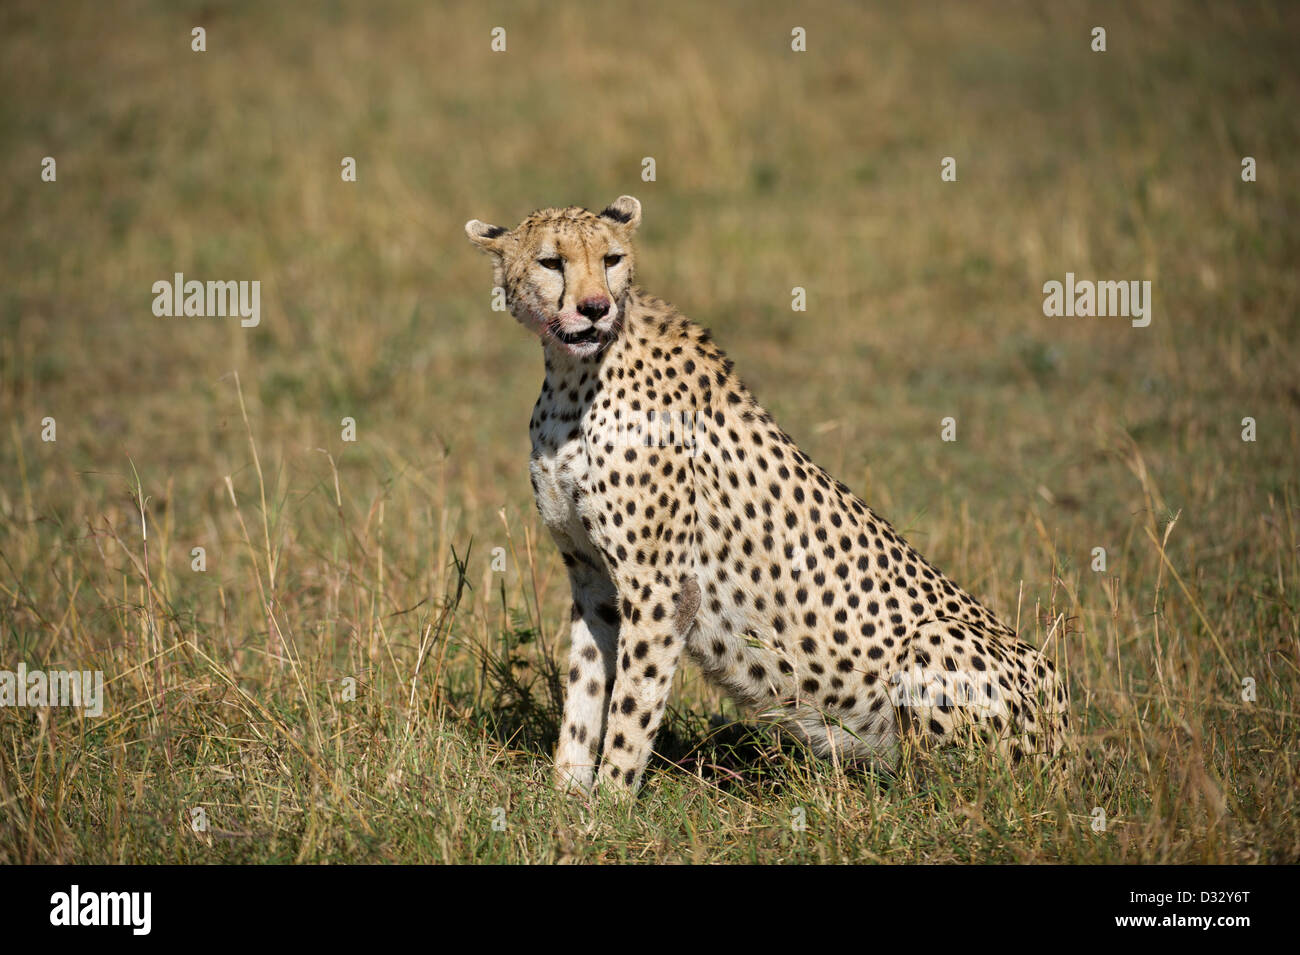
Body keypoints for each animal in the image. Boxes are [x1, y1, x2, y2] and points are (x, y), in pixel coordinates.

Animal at [465, 197, 1066, 795]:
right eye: (551, 262)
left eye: (612, 259)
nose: (595, 308)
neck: (574, 375)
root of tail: (1067, 746)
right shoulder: (593, 576)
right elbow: (586, 688)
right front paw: (566, 793)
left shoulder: (661, 586)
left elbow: (633, 707)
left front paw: (610, 802)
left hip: (940, 643)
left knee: (957, 785)